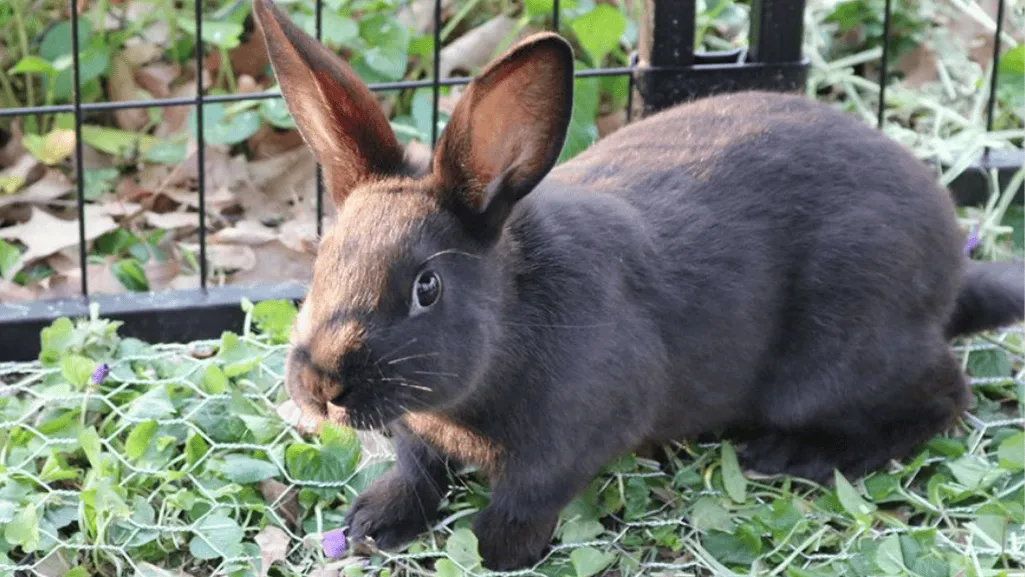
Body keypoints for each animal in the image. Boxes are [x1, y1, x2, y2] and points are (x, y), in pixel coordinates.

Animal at [252, 0, 1025, 569]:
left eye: (427, 287)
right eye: (323, 259)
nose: (321, 384)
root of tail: (948, 262)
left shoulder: (573, 435)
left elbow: (526, 498)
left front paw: (494, 549)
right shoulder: (420, 435)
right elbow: (419, 472)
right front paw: (370, 521)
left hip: (835, 359)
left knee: (944, 396)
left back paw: (791, 456)